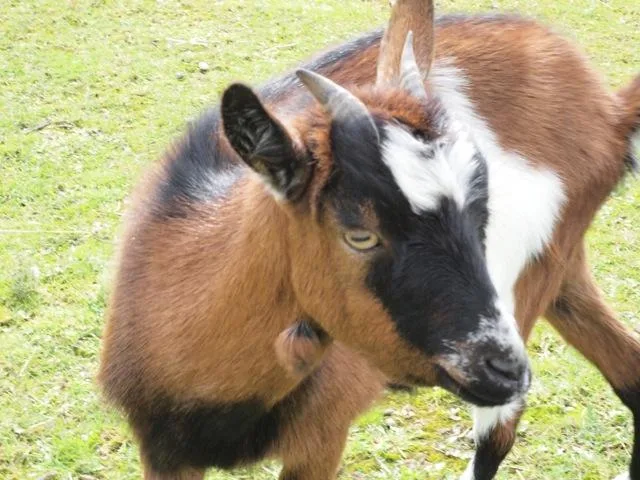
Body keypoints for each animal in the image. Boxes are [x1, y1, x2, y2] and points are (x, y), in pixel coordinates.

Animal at [99, 0, 640, 478]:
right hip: (559, 266)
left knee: (497, 439)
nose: (505, 369)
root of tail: (609, 112)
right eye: (360, 236)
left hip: (528, 283)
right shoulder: (163, 450)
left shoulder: (321, 440)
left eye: (481, 215)